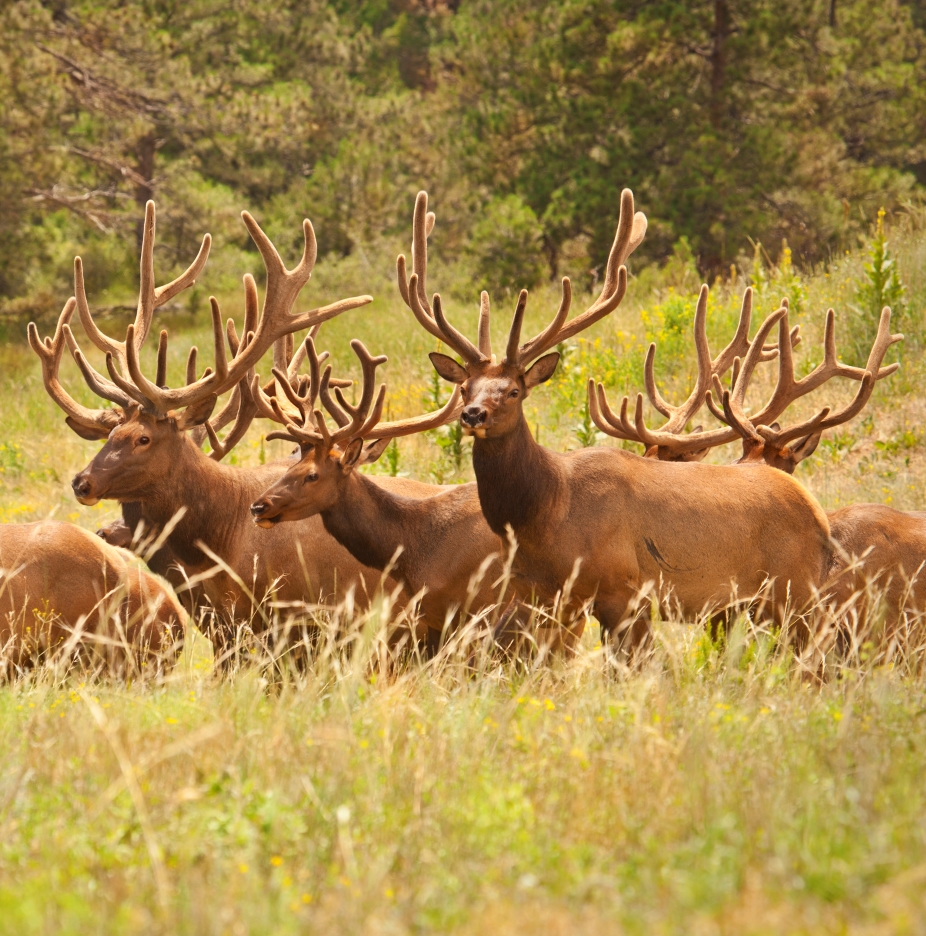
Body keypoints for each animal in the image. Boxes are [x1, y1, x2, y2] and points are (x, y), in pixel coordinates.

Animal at [402, 189, 836, 652]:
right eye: (465, 387)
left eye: (514, 391)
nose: (472, 414)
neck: (545, 515)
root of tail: (819, 517)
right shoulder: (542, 595)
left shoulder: (623, 588)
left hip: (795, 589)